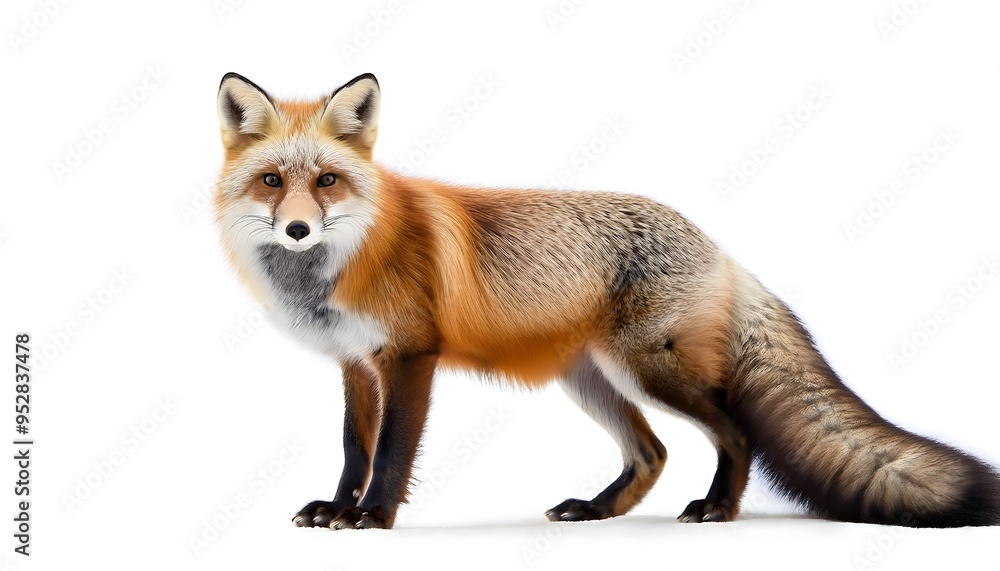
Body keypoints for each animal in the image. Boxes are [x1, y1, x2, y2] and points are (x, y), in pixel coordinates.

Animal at [214, 71, 1000, 530]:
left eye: (327, 181)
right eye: (272, 180)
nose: (296, 228)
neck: (336, 267)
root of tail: (720, 249)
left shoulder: (410, 356)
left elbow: (393, 453)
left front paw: (373, 517)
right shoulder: (355, 363)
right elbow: (355, 448)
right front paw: (337, 507)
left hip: (649, 370)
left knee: (734, 432)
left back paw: (719, 507)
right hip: (591, 379)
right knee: (651, 452)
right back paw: (596, 509)